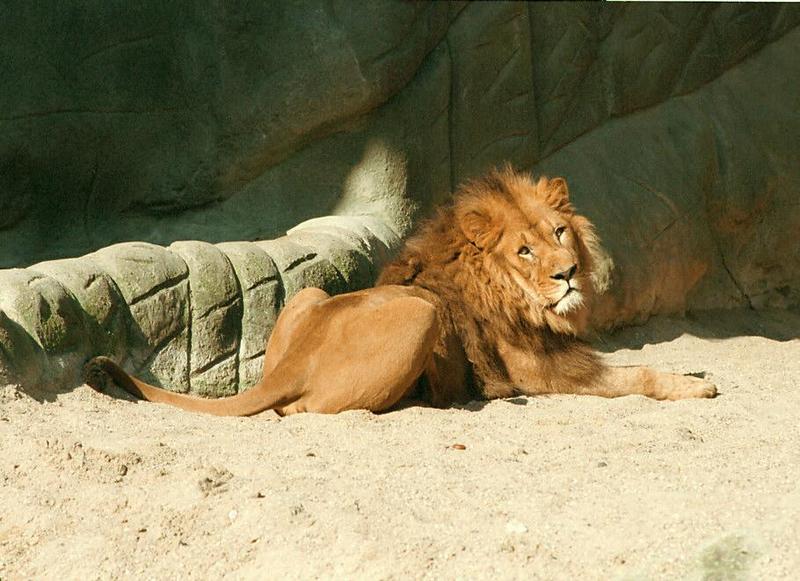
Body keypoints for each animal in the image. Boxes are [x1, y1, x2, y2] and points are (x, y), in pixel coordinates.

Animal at [84, 165, 716, 414]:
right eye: (524, 250)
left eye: (559, 232)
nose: (568, 272)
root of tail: (295, 362)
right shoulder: (544, 372)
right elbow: (639, 375)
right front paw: (695, 385)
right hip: (419, 316)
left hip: (310, 295)